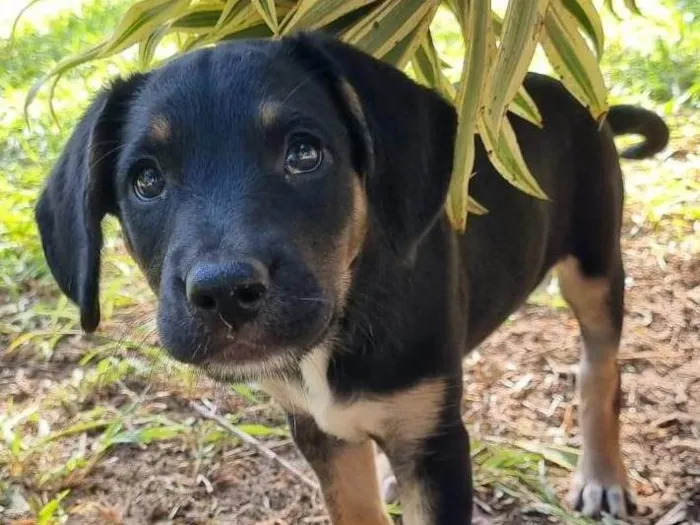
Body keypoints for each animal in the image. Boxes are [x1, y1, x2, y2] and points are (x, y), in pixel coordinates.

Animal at [37, 32, 668, 524]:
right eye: (146, 181)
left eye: (304, 154)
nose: (224, 294)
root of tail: (579, 99)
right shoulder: (321, 433)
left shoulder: (437, 448)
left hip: (593, 265)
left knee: (599, 372)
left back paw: (603, 475)